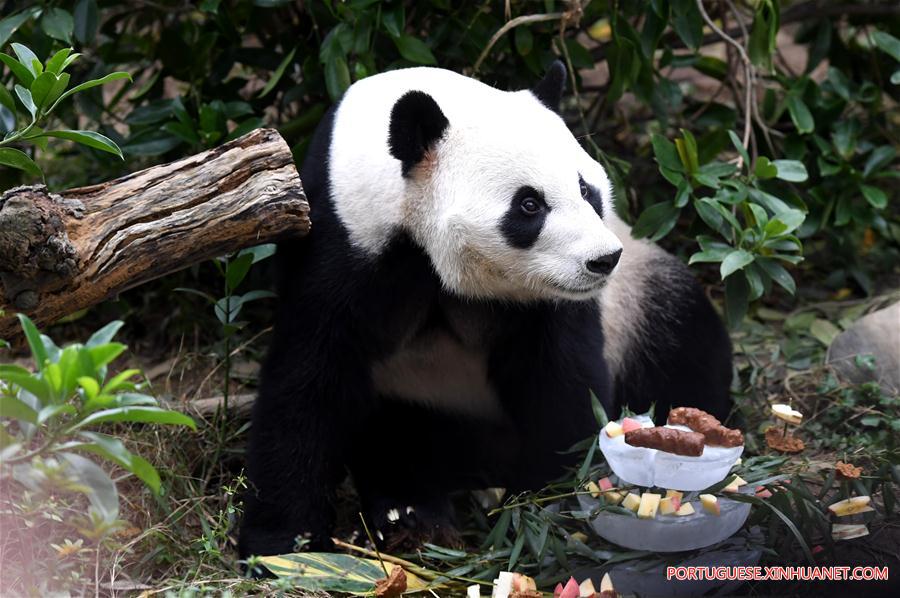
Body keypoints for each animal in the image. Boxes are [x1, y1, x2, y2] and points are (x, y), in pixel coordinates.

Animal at [238, 62, 732, 559]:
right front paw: (283, 544)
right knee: (400, 434)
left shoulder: (549, 301)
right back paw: (412, 514)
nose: (602, 260)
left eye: (586, 189)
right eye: (529, 204)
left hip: (636, 296)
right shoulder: (341, 242)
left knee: (679, 337)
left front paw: (542, 509)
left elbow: (561, 383)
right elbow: (308, 383)